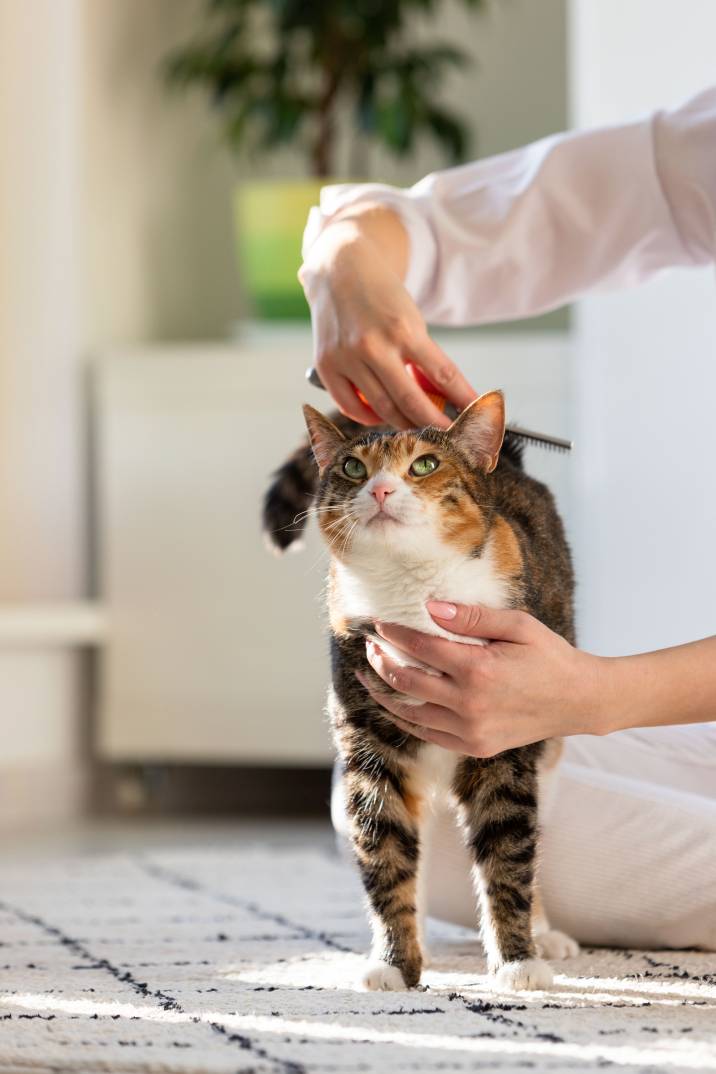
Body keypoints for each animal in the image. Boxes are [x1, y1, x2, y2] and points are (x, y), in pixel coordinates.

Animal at [266, 393, 579, 988]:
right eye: (352, 468)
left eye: (425, 465)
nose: (381, 489)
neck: (413, 594)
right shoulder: (370, 747)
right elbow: (384, 852)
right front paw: (394, 964)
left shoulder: (506, 732)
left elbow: (509, 852)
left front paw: (518, 961)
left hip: (548, 744)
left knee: (537, 833)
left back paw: (547, 934)